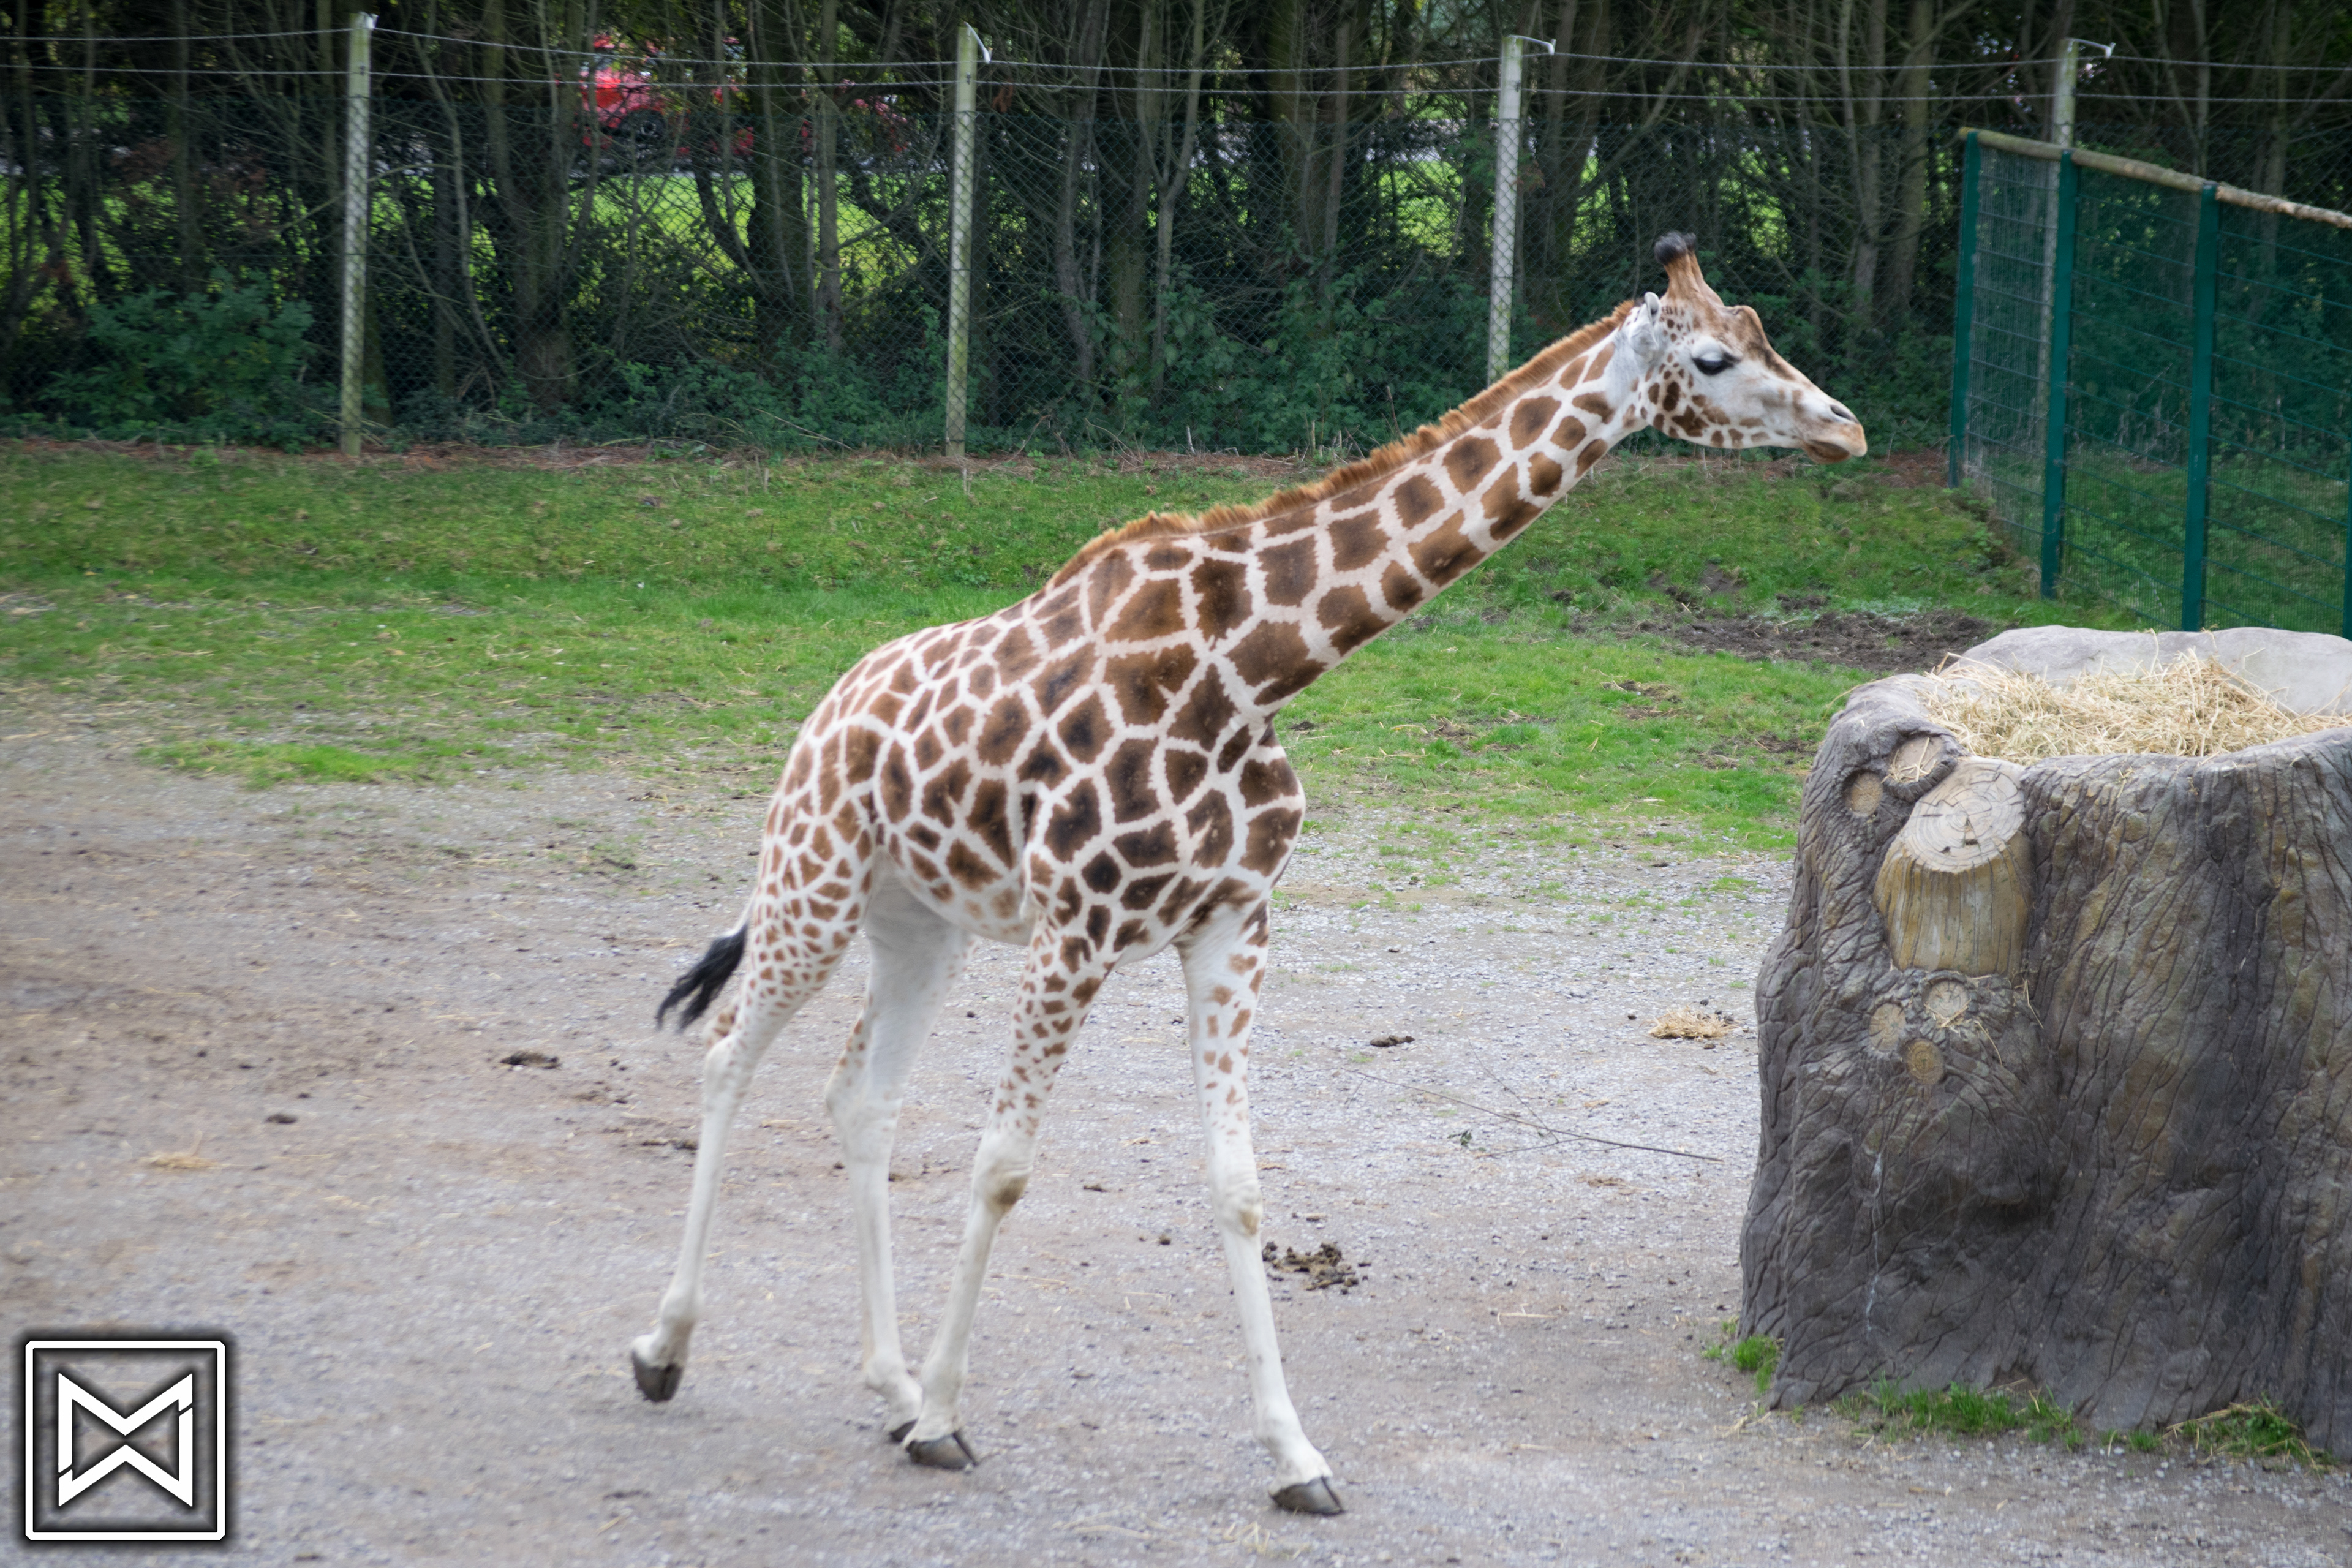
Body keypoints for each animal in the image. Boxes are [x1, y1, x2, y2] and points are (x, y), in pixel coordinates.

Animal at [627, 233, 1865, 1514]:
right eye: (1714, 357)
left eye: (1764, 329)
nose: (1846, 428)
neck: (1253, 666)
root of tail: (830, 705)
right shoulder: (1077, 927)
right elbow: (1004, 1167)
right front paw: (950, 1423)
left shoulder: (1232, 921)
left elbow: (1239, 1182)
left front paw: (1295, 1457)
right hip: (811, 882)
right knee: (728, 1060)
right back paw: (669, 1351)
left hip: (922, 923)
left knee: (860, 1099)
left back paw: (887, 1382)